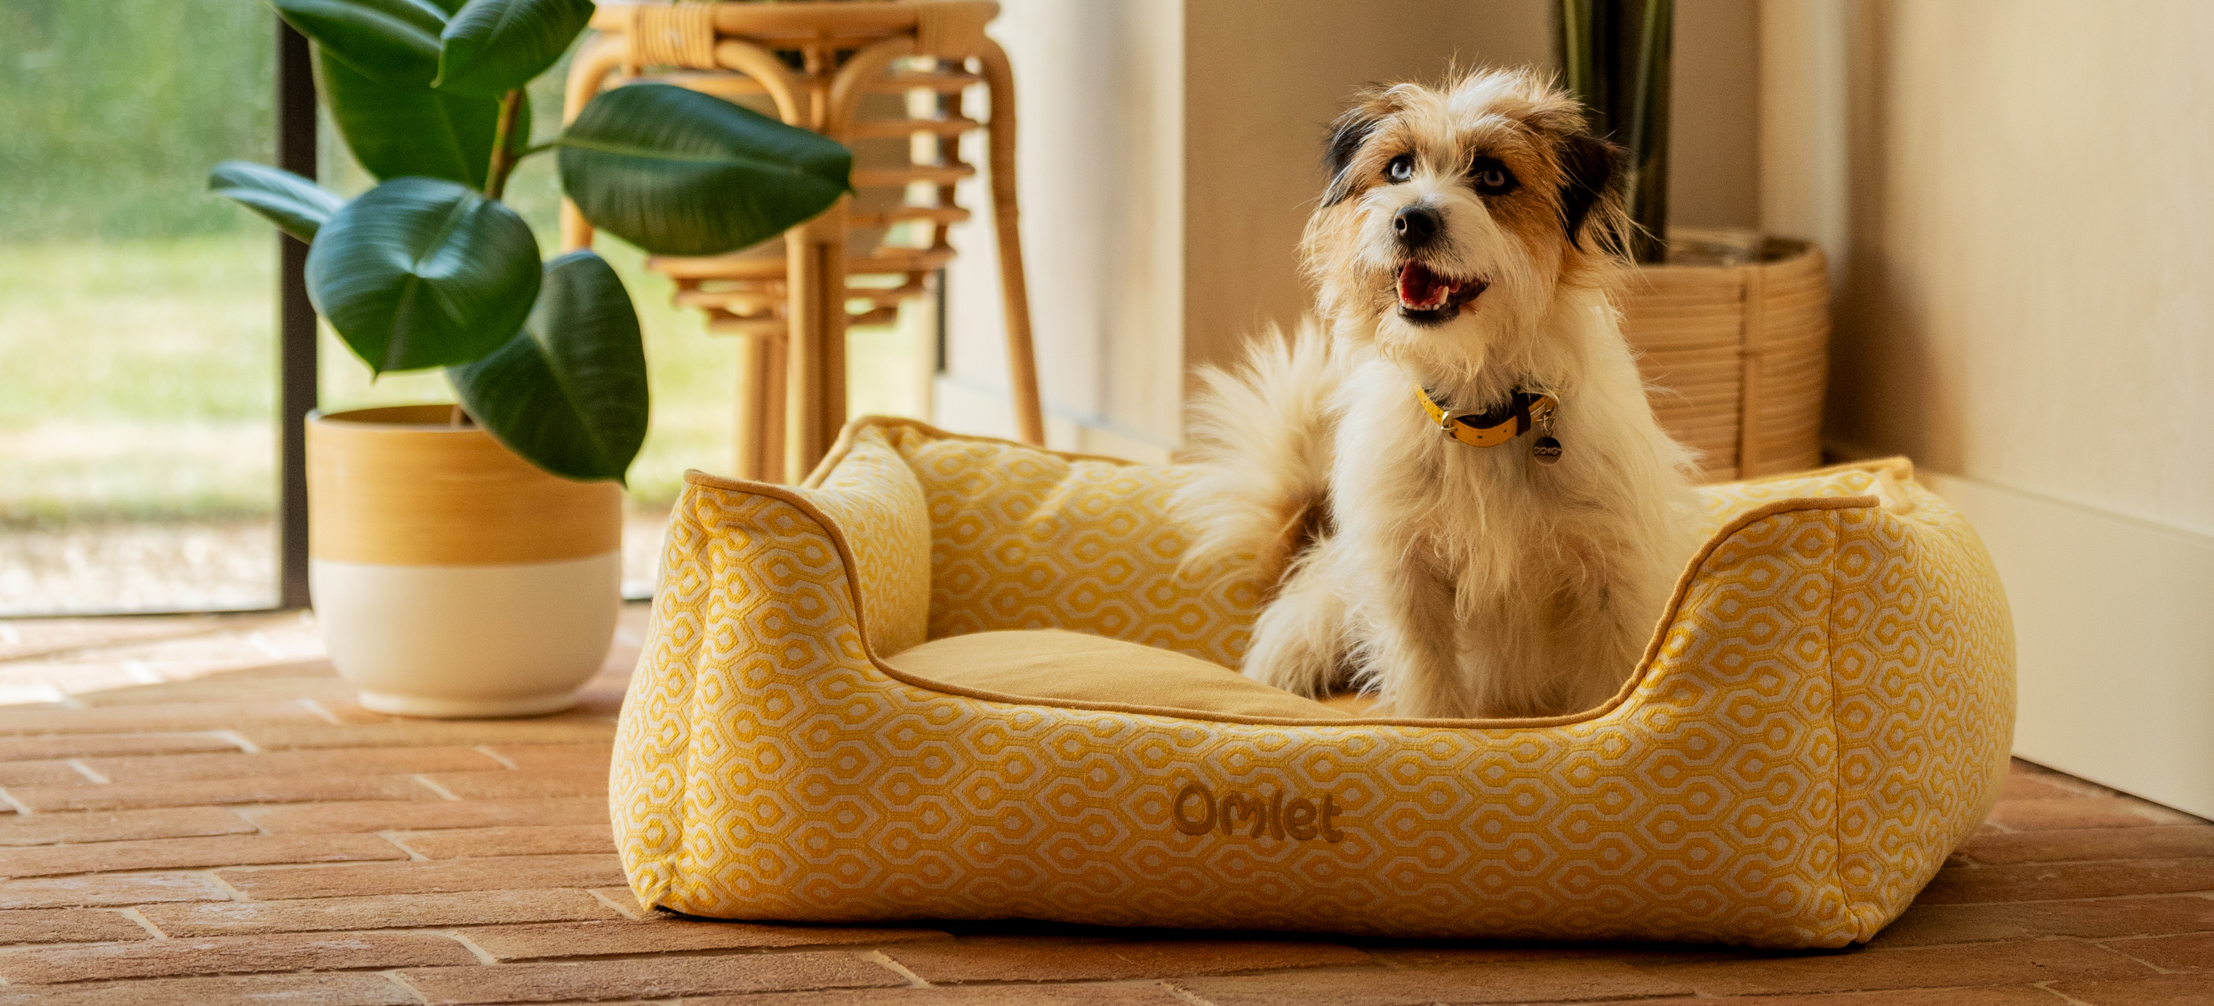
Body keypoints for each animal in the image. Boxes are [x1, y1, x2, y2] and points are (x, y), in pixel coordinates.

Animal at [1177, 68, 1691, 713]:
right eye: (1398, 169)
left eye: (1493, 176)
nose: (1411, 219)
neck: (1480, 413)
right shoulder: (1407, 576)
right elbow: (1429, 683)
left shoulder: (1615, 577)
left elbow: (1612, 684)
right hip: (1319, 616)